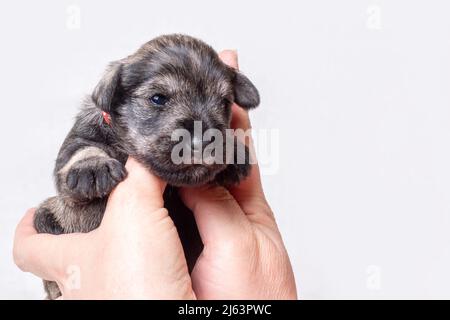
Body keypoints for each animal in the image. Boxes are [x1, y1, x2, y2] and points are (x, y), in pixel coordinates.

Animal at [33, 33, 260, 298]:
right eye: (158, 99)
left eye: (224, 102)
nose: (202, 142)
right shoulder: (78, 145)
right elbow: (81, 149)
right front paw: (92, 166)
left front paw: (234, 152)